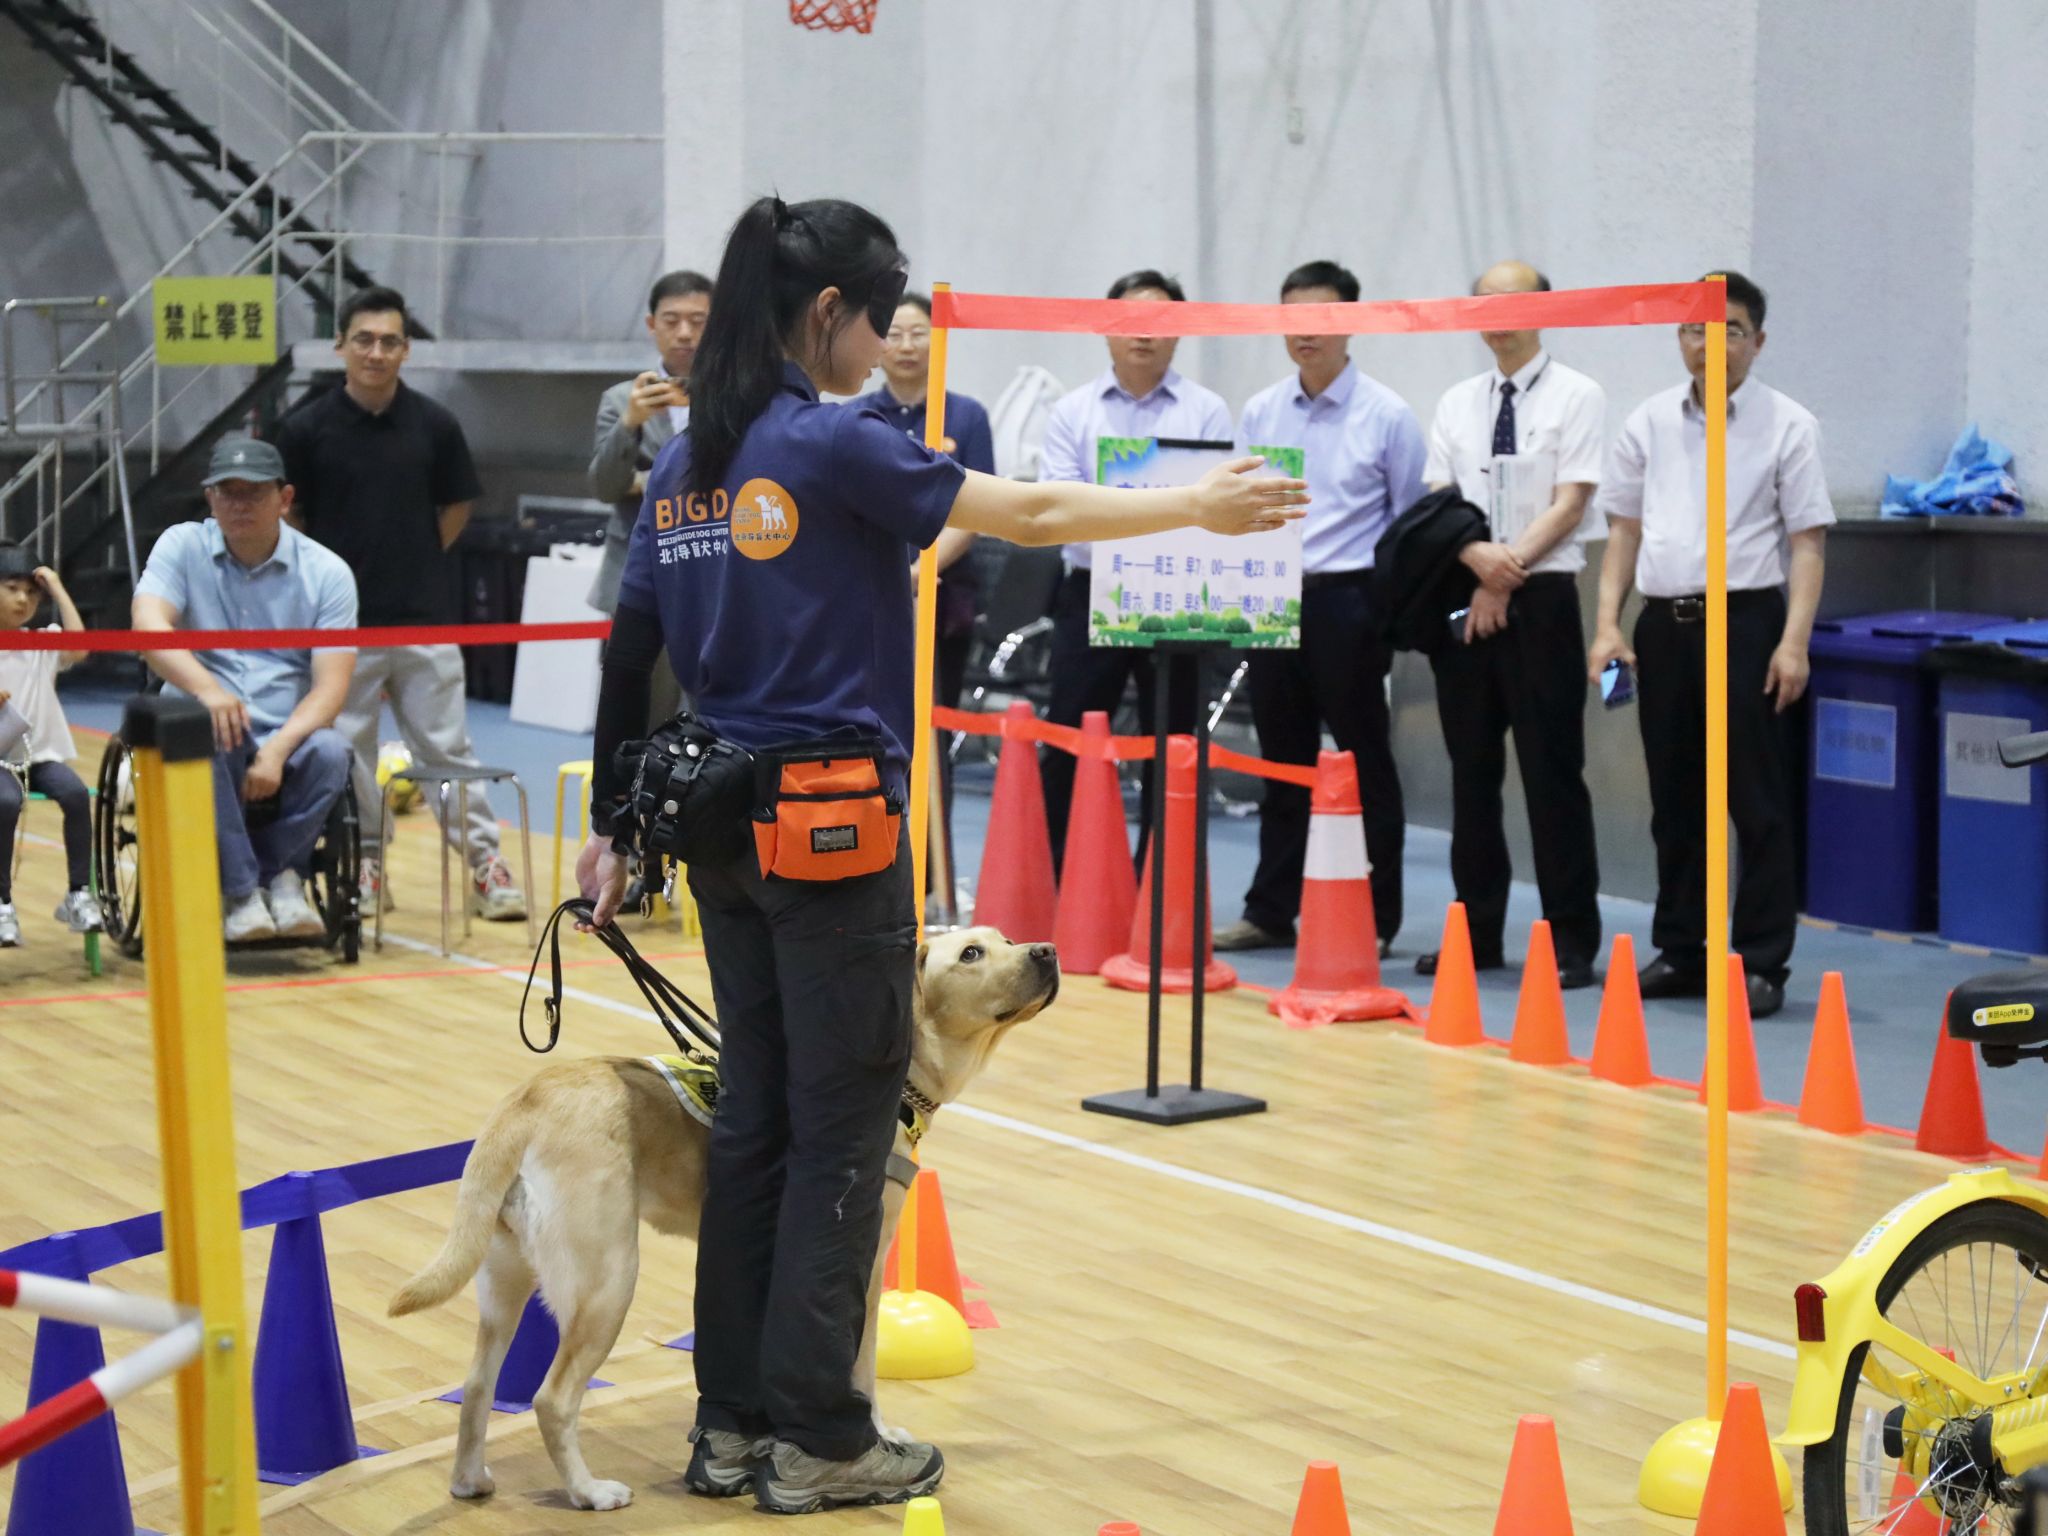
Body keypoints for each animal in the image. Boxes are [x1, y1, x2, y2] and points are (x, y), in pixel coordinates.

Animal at [388, 926, 1059, 1511]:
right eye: (971, 954)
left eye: (1003, 938)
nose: (1048, 951)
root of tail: (521, 1105)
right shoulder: (859, 1267)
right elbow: (861, 1371)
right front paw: (874, 1439)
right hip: (607, 1281)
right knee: (552, 1399)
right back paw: (588, 1492)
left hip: (505, 1278)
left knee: (478, 1387)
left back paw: (470, 1480)